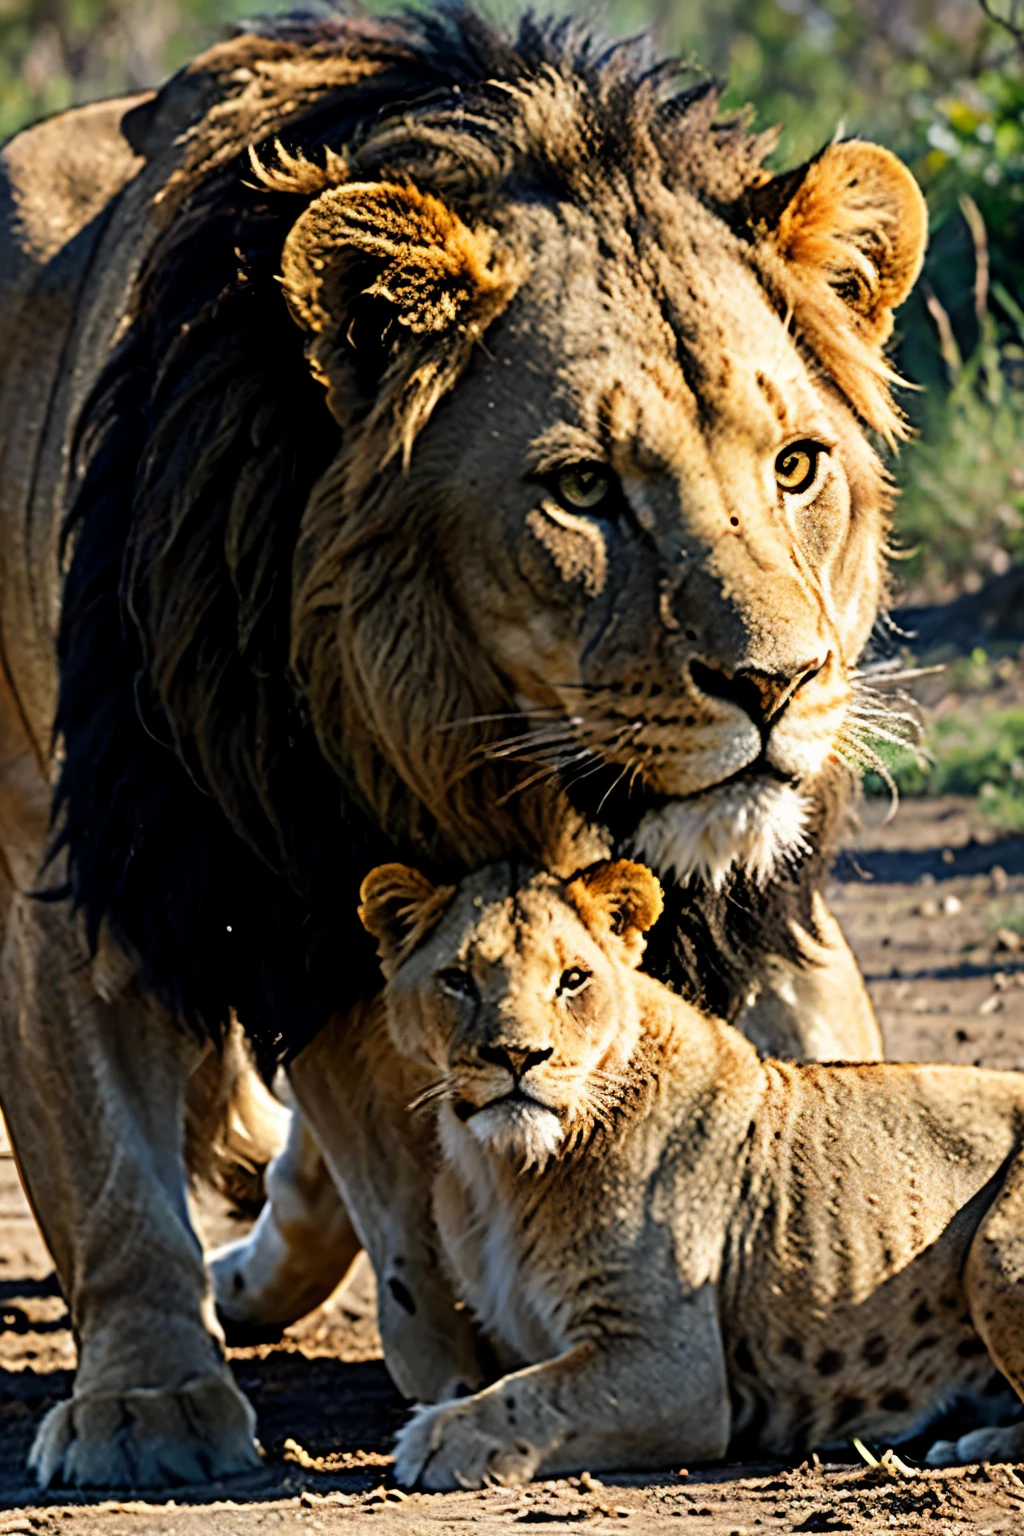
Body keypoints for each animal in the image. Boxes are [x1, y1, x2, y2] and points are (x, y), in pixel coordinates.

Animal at [0, 6, 927, 1480]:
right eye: (584, 488)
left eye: (796, 465)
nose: (780, 684)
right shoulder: (103, 848)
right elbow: (109, 1169)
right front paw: (143, 1404)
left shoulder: (741, 906)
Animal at [356, 854, 1024, 1486]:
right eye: (457, 980)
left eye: (573, 980)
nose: (517, 1057)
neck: (504, 1170)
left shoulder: (676, 1373)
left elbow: (536, 1396)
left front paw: (436, 1438)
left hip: (991, 1251)